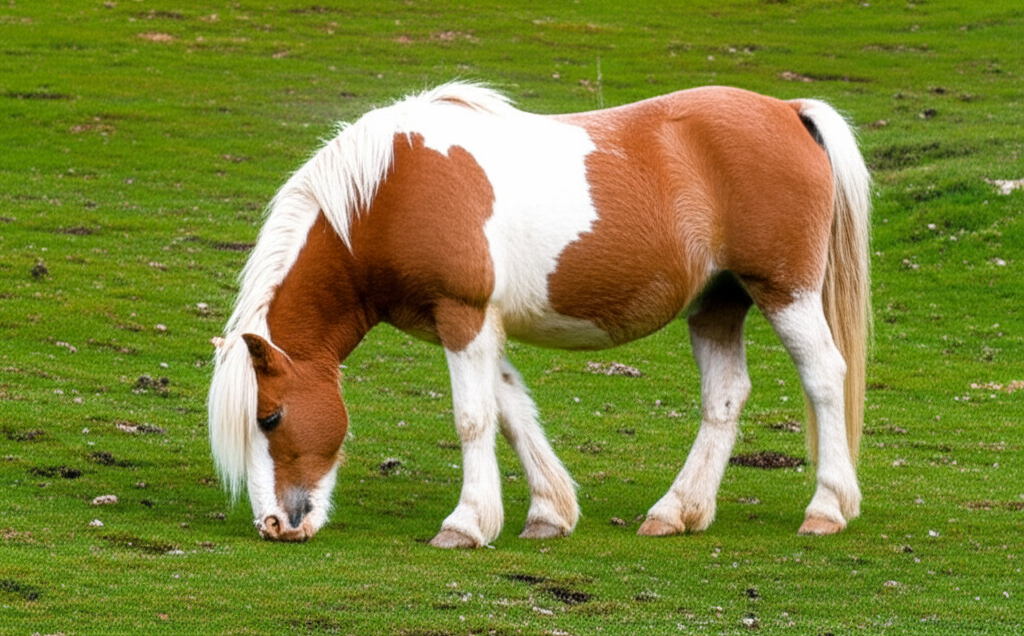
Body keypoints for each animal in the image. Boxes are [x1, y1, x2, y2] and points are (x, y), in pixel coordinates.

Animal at [208, 82, 871, 546]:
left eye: (269, 417)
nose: (275, 524)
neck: (388, 195)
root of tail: (789, 110)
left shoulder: (463, 316)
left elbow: (474, 417)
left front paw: (466, 524)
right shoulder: (476, 324)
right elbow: (511, 410)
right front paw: (549, 512)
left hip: (785, 292)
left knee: (824, 377)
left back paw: (827, 509)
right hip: (717, 304)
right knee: (725, 397)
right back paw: (676, 511)